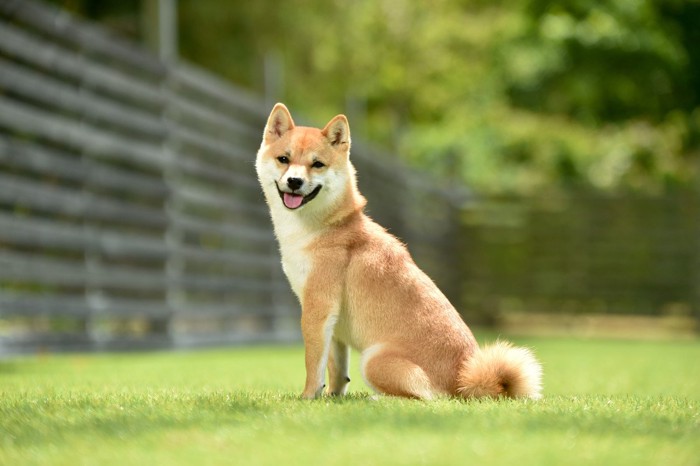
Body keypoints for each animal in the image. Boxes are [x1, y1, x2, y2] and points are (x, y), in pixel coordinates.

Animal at [256, 103, 540, 400]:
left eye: (317, 164)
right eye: (284, 159)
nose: (294, 181)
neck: (325, 226)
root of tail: (464, 382)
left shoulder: (317, 307)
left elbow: (313, 364)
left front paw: (308, 397)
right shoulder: (332, 322)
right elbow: (336, 367)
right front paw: (333, 396)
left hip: (373, 360)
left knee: (425, 397)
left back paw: (378, 398)